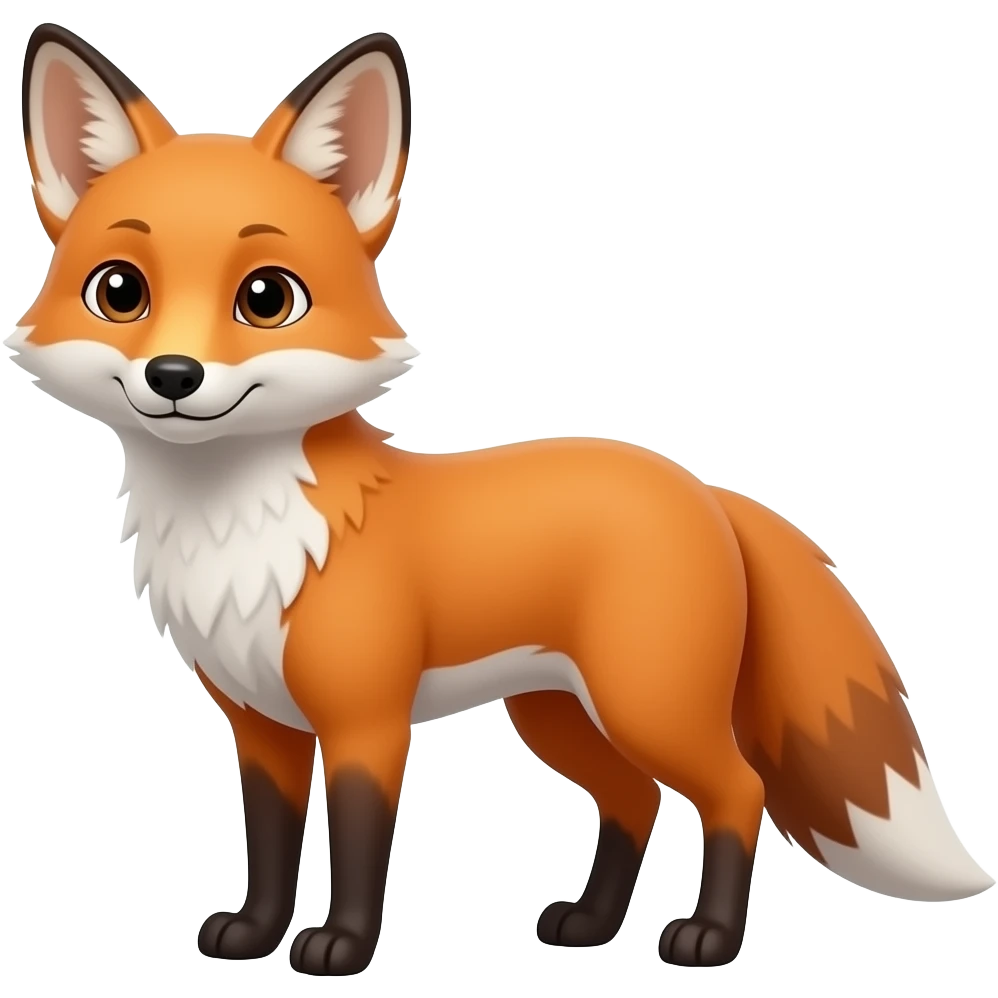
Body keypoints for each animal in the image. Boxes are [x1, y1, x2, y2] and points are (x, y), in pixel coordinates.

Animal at [10, 21, 993, 977]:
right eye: (120, 291)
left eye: (266, 297)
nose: (174, 376)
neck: (242, 530)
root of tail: (704, 487)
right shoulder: (262, 726)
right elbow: (271, 842)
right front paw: (254, 935)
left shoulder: (367, 719)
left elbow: (359, 844)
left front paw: (340, 949)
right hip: (558, 713)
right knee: (634, 799)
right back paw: (591, 925)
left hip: (647, 703)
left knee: (735, 789)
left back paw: (708, 939)